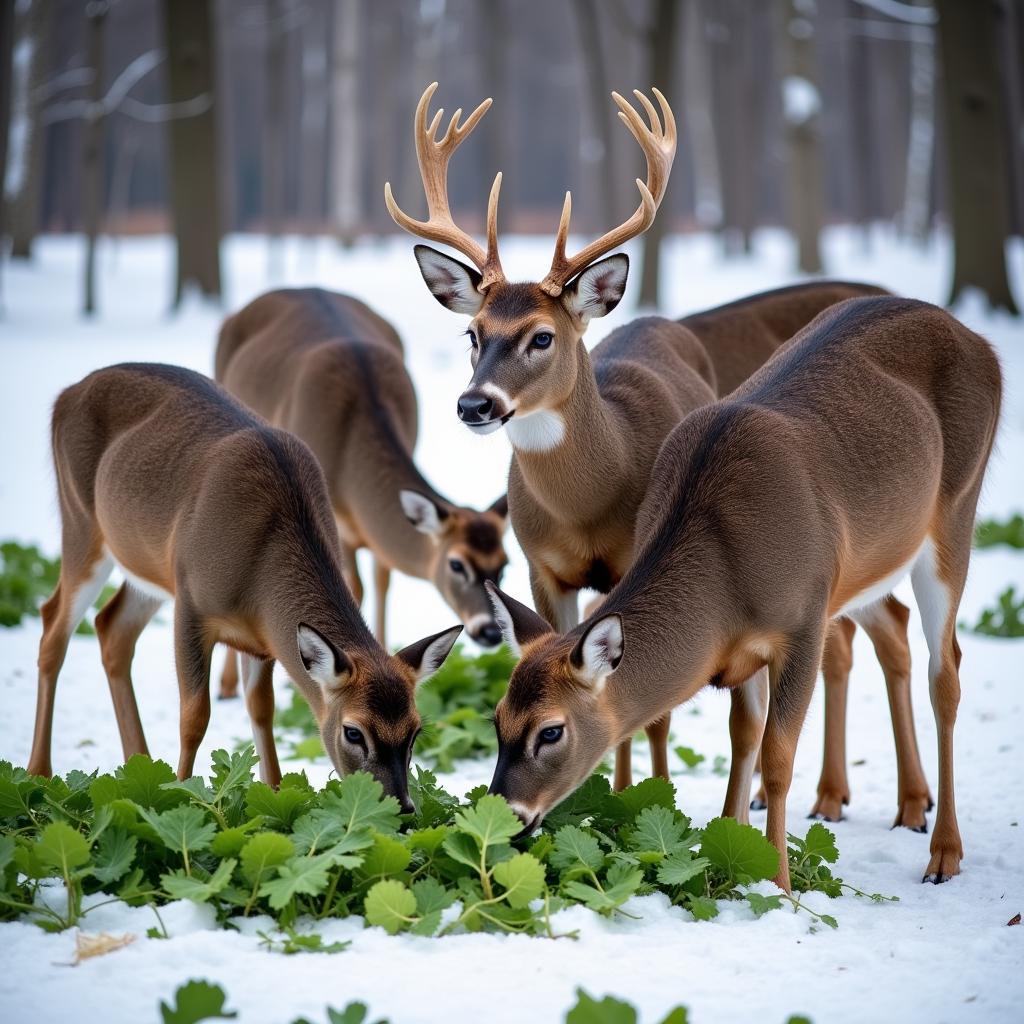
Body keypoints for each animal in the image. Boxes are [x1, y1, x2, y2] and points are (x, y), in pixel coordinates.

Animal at [25, 360, 462, 806]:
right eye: (353, 732)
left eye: (415, 731)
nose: (402, 809)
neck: (258, 574)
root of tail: (67, 394)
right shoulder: (191, 602)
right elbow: (194, 716)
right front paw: (181, 795)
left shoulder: (262, 638)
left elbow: (262, 711)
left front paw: (274, 797)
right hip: (81, 524)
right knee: (52, 627)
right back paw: (39, 772)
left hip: (146, 567)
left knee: (112, 628)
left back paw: (139, 766)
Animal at [211, 288, 507, 700]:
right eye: (456, 563)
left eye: (504, 564)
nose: (490, 631)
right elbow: (356, 588)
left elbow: (383, 580)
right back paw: (225, 685)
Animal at [385, 79, 929, 831]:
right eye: (473, 333)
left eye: (541, 336)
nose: (475, 405)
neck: (586, 503)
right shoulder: (544, 570)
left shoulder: (630, 559)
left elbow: (654, 711)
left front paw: (639, 798)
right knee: (864, 635)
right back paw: (833, 795)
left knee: (870, 633)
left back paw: (894, 803)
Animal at [485, 296, 999, 888]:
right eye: (497, 718)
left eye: (551, 731)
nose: (508, 814)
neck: (727, 570)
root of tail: (979, 341)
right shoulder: (743, 645)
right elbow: (743, 734)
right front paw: (728, 857)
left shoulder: (802, 619)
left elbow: (776, 755)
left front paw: (779, 882)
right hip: (868, 561)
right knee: (894, 627)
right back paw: (904, 803)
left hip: (956, 511)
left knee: (947, 671)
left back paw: (944, 853)